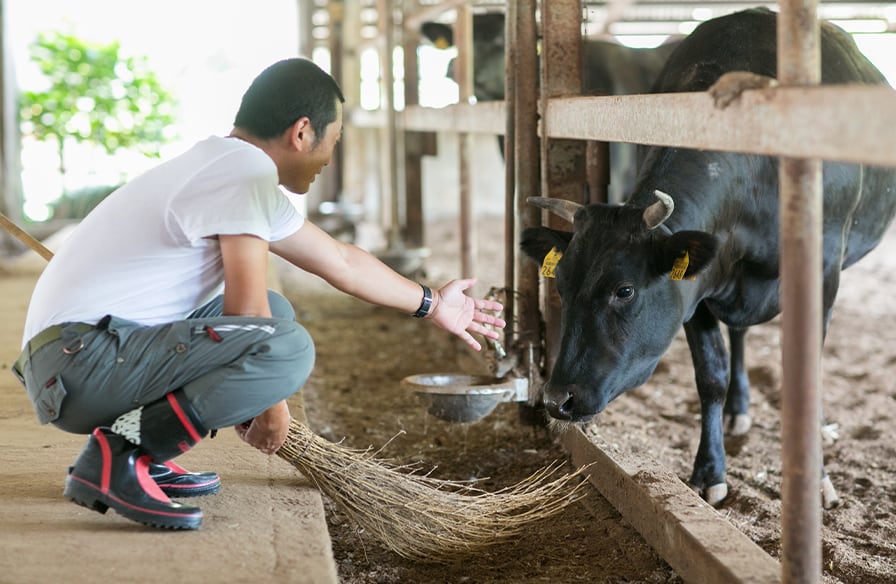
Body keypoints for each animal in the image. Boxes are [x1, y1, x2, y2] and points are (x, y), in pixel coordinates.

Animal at [520, 5, 896, 506]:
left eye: (625, 290)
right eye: (560, 284)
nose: (555, 399)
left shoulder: (822, 275)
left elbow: (806, 380)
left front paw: (815, 480)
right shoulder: (696, 290)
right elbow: (710, 378)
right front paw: (709, 471)